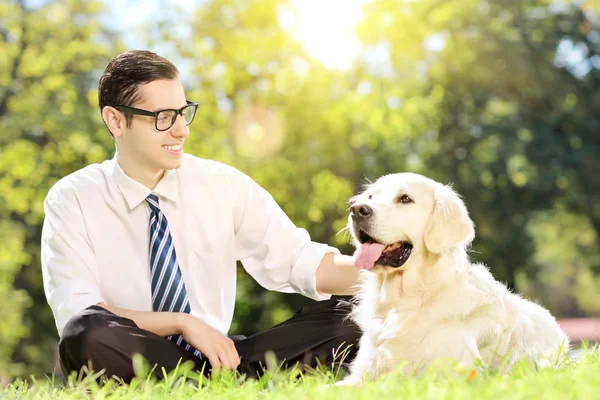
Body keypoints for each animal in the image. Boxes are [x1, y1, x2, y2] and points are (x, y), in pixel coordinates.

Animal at [340, 173, 568, 384]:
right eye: (370, 196)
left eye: (405, 198)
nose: (357, 209)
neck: (406, 301)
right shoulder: (359, 377)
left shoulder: (451, 375)